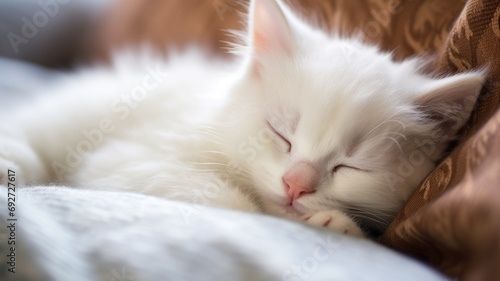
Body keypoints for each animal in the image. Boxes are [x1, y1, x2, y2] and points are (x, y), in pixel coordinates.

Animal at [0, 0, 484, 236]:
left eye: (352, 166)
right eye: (281, 134)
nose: (295, 185)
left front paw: (338, 224)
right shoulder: (129, 159)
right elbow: (235, 203)